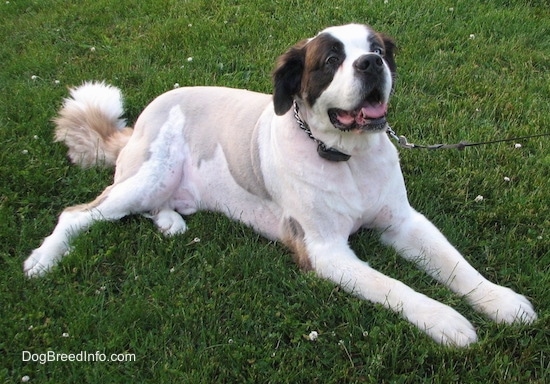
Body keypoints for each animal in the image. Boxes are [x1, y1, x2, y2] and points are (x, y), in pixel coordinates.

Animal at [22, 24, 540, 348]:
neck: (344, 156)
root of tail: (142, 119)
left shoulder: (404, 223)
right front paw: (446, 321)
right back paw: (43, 260)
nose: (371, 64)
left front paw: (503, 302)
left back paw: (170, 221)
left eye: (377, 48)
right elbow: (394, 286)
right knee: (78, 214)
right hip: (148, 175)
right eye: (331, 59)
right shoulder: (326, 252)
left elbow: (456, 265)